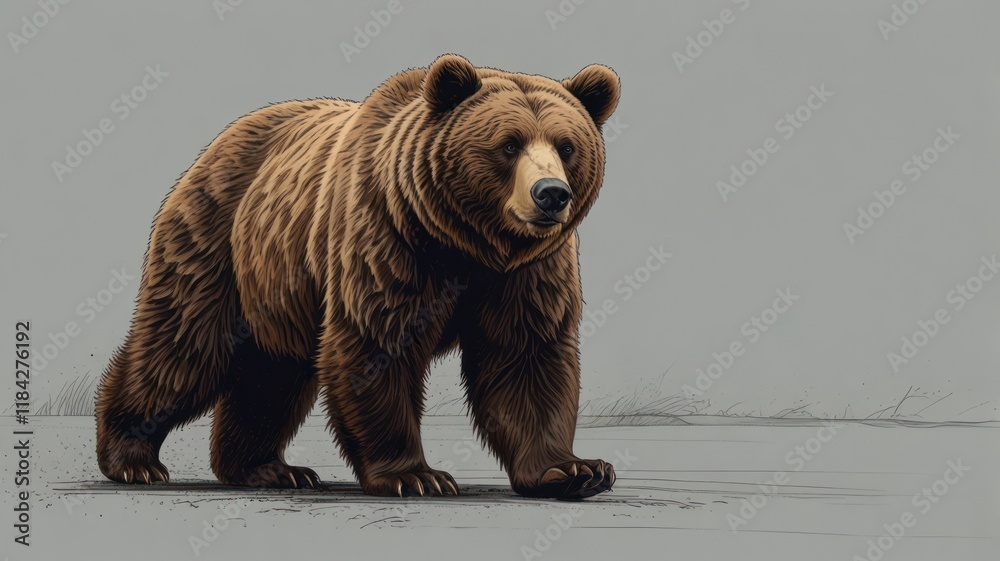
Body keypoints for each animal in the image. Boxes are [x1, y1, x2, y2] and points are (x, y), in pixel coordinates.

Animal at [95, 54, 620, 500]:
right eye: (509, 144)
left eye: (566, 146)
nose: (550, 194)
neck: (467, 245)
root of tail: (218, 142)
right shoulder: (387, 236)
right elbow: (377, 342)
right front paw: (416, 475)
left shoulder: (526, 272)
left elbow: (527, 354)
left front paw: (575, 469)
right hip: (220, 242)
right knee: (182, 347)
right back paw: (132, 459)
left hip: (278, 284)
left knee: (271, 371)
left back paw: (269, 468)